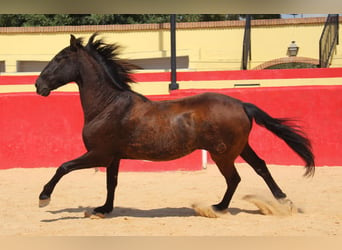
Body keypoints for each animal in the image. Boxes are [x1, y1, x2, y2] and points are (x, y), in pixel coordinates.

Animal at [35, 33, 316, 217]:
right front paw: (103, 209)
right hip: (239, 148)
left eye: (59, 58)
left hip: (223, 154)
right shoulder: (112, 157)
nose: (39, 85)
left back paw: (218, 208)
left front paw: (44, 198)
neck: (107, 106)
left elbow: (64, 167)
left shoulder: (99, 154)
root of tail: (242, 104)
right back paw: (282, 202)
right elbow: (110, 183)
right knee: (260, 167)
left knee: (234, 178)